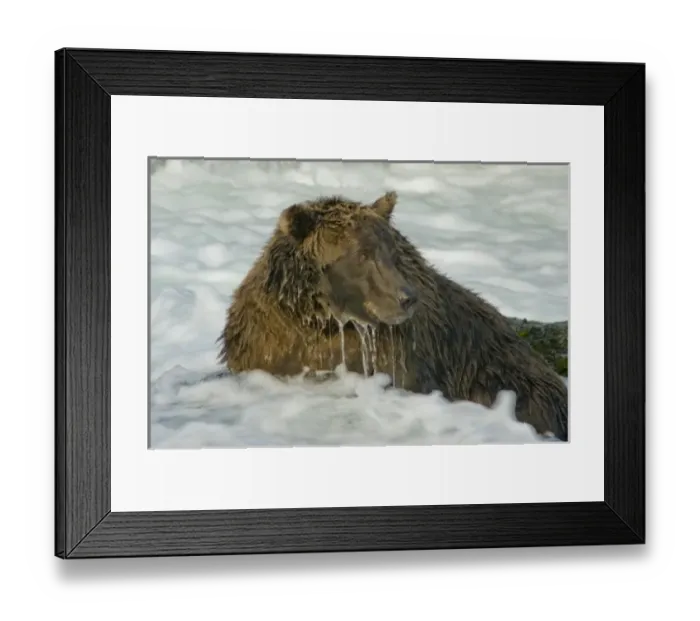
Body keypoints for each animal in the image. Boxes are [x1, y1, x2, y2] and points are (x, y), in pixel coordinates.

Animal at [217, 191, 568, 441]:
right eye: (361, 254)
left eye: (391, 251)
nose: (406, 297)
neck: (327, 322)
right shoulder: (268, 343)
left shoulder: (403, 354)